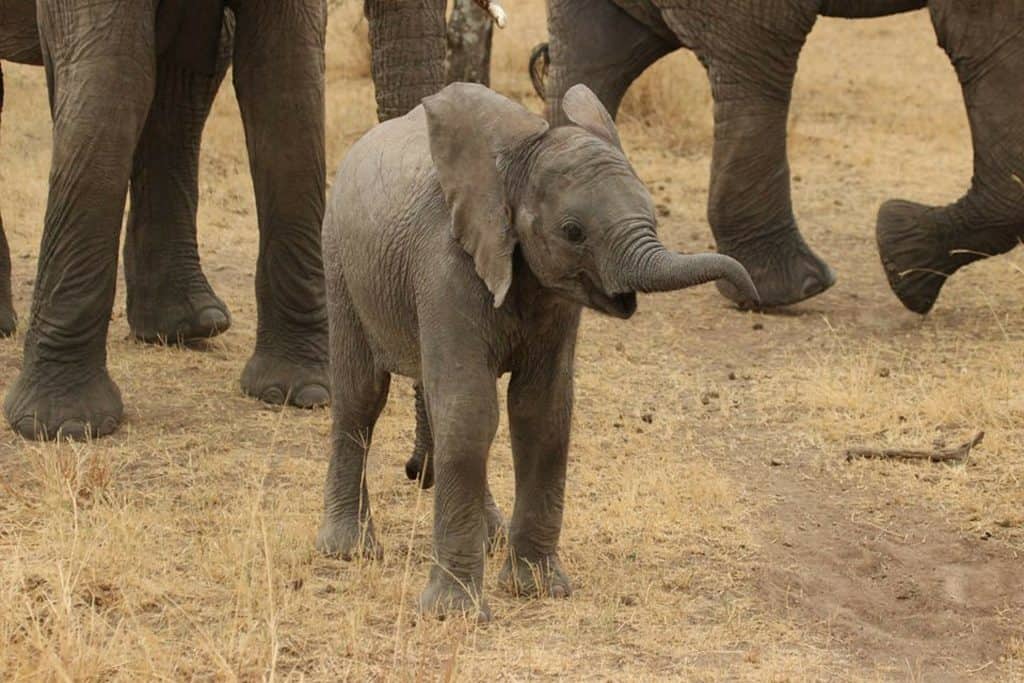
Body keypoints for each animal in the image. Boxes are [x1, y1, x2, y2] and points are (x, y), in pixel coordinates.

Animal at [0, 0, 448, 438]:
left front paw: (301, 391)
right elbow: (112, 75)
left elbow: (284, 80)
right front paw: (64, 424)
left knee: (181, 85)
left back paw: (188, 324)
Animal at [321, 81, 761, 618]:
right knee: (361, 397)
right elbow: (471, 412)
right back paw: (348, 550)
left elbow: (542, 413)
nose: (750, 294)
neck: (515, 167)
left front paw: (538, 590)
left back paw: (489, 537)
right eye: (573, 231)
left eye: (653, 214)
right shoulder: (445, 266)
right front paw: (453, 614)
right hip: (341, 262)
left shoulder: (555, 300)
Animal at [536, 0, 1024, 313]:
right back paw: (791, 292)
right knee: (758, 60)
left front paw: (905, 260)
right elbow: (994, 43)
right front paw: (905, 262)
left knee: (596, 55)